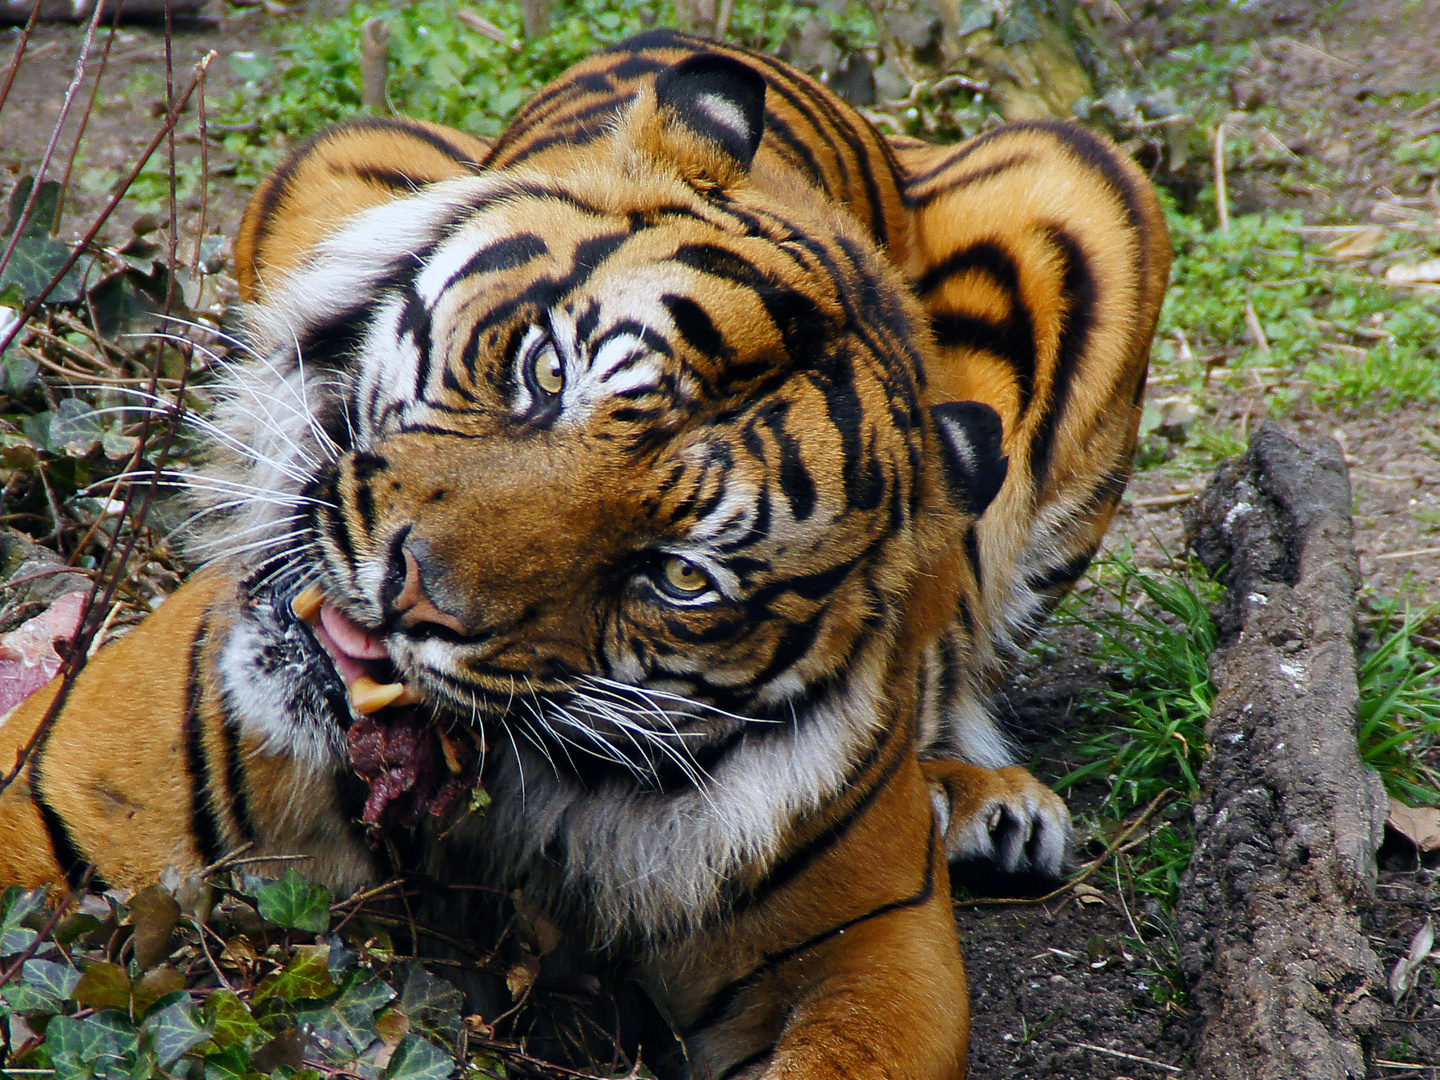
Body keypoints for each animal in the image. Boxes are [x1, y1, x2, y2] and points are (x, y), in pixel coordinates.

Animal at [0, 29, 1169, 1077]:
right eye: (549, 373)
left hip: (1091, 182)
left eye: (680, 574)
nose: (408, 597)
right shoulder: (50, 793)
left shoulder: (873, 949)